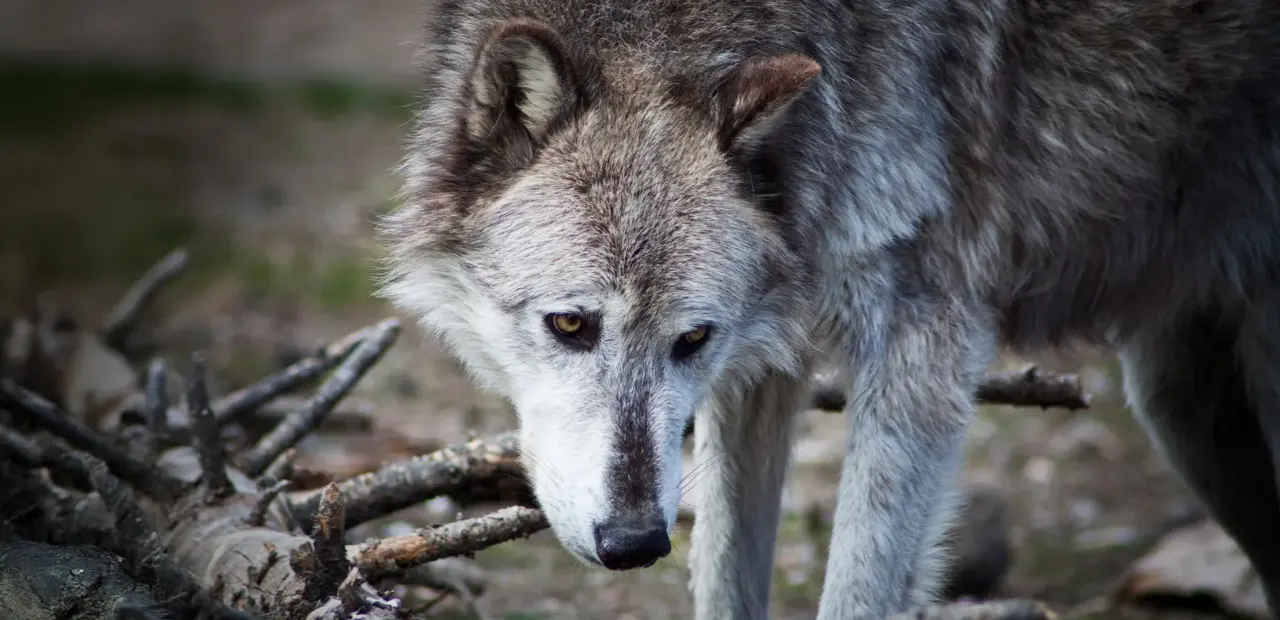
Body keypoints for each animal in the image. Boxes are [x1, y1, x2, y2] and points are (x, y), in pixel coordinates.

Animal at [376, 0, 1280, 616]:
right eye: (570, 324)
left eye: (692, 338)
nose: (634, 544)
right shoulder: (759, 373)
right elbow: (725, 578)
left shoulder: (922, 352)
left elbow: (857, 591)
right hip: (1179, 408)